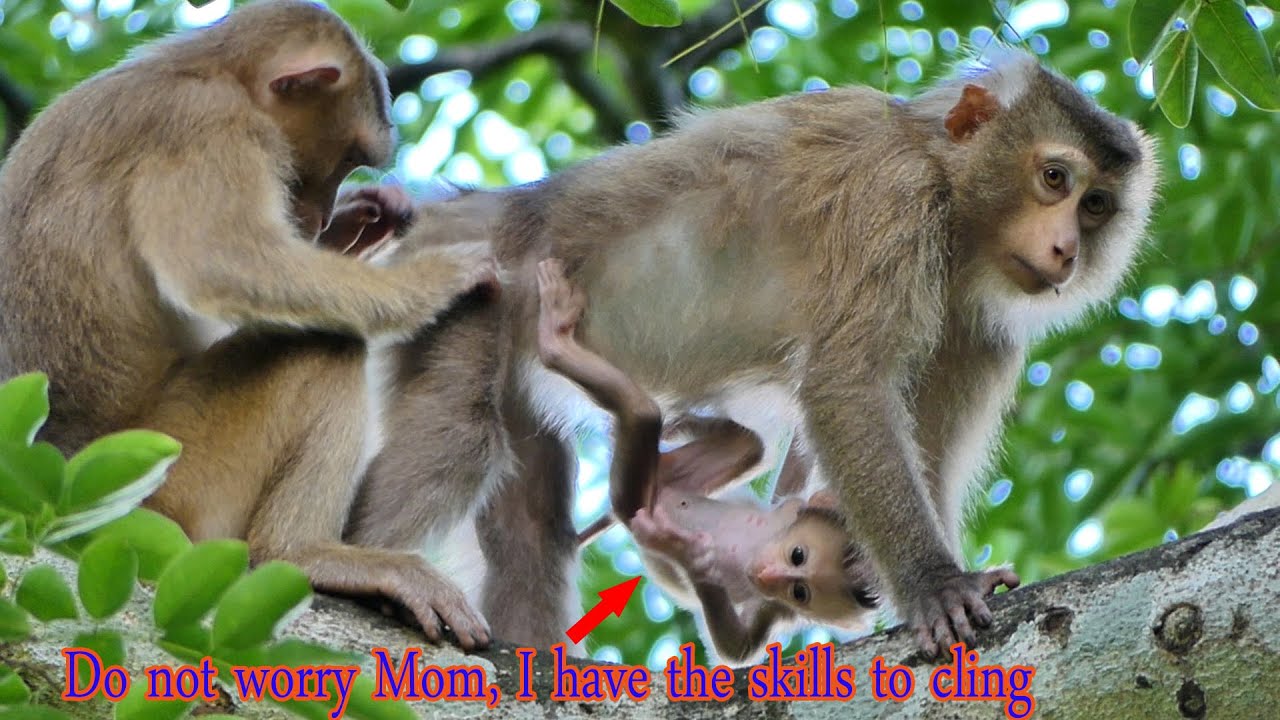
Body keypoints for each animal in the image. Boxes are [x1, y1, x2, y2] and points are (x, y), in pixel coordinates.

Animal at [0, 0, 496, 649]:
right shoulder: (211, 126)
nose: (318, 214)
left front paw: (360, 220)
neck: (204, 69)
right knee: (323, 343)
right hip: (178, 474)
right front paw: (439, 278)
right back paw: (303, 552)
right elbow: (224, 266)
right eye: (345, 156)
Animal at [533, 258, 879, 664]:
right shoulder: (791, 507)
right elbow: (791, 482)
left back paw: (558, 344)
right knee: (734, 440)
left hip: (638, 497)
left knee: (646, 417)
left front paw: (694, 561)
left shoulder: (774, 608)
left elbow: (736, 649)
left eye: (800, 592)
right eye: (798, 555)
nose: (768, 575)